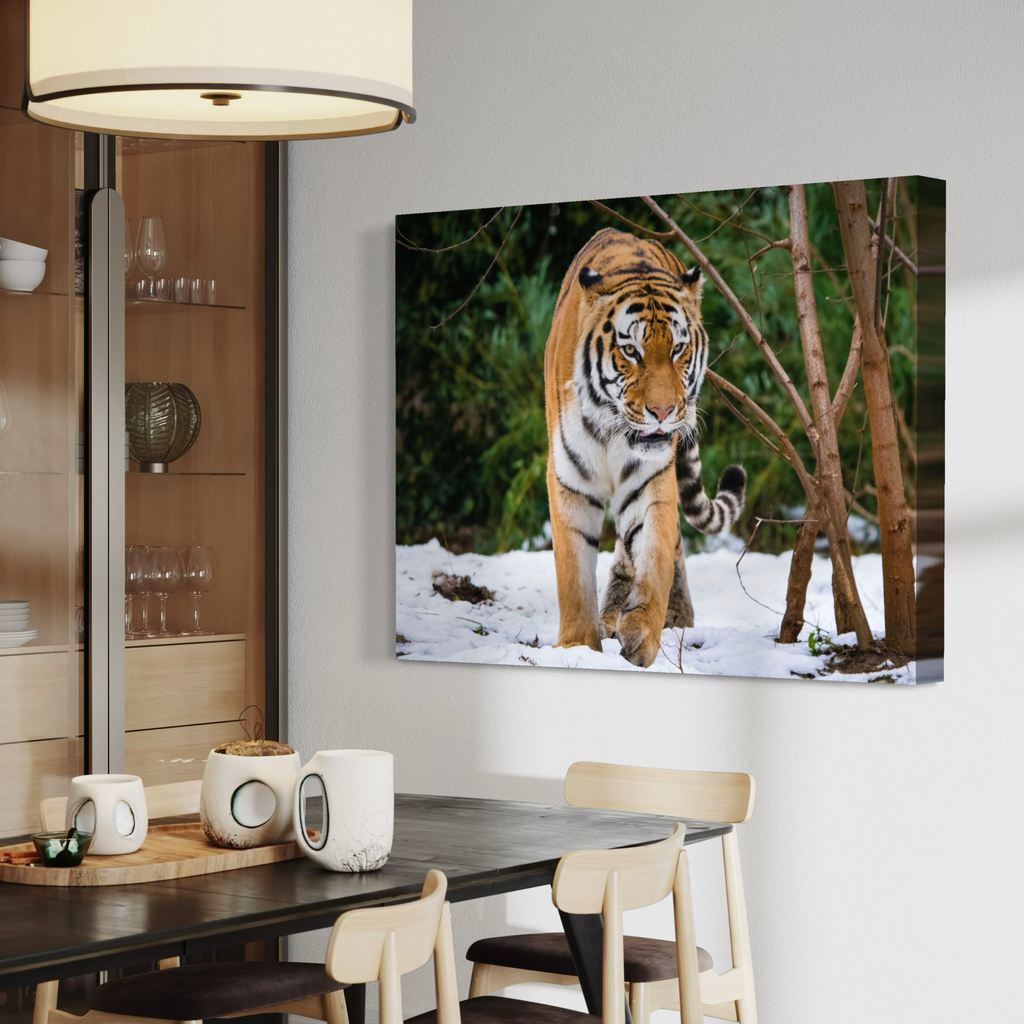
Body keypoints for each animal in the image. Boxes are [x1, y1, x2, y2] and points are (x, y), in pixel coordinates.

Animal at [544, 228, 746, 668]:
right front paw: (576, 647)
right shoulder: (569, 482)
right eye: (630, 351)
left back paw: (671, 617)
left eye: (677, 349)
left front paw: (642, 635)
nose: (663, 411)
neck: (611, 430)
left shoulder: (650, 479)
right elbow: (572, 574)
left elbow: (654, 558)